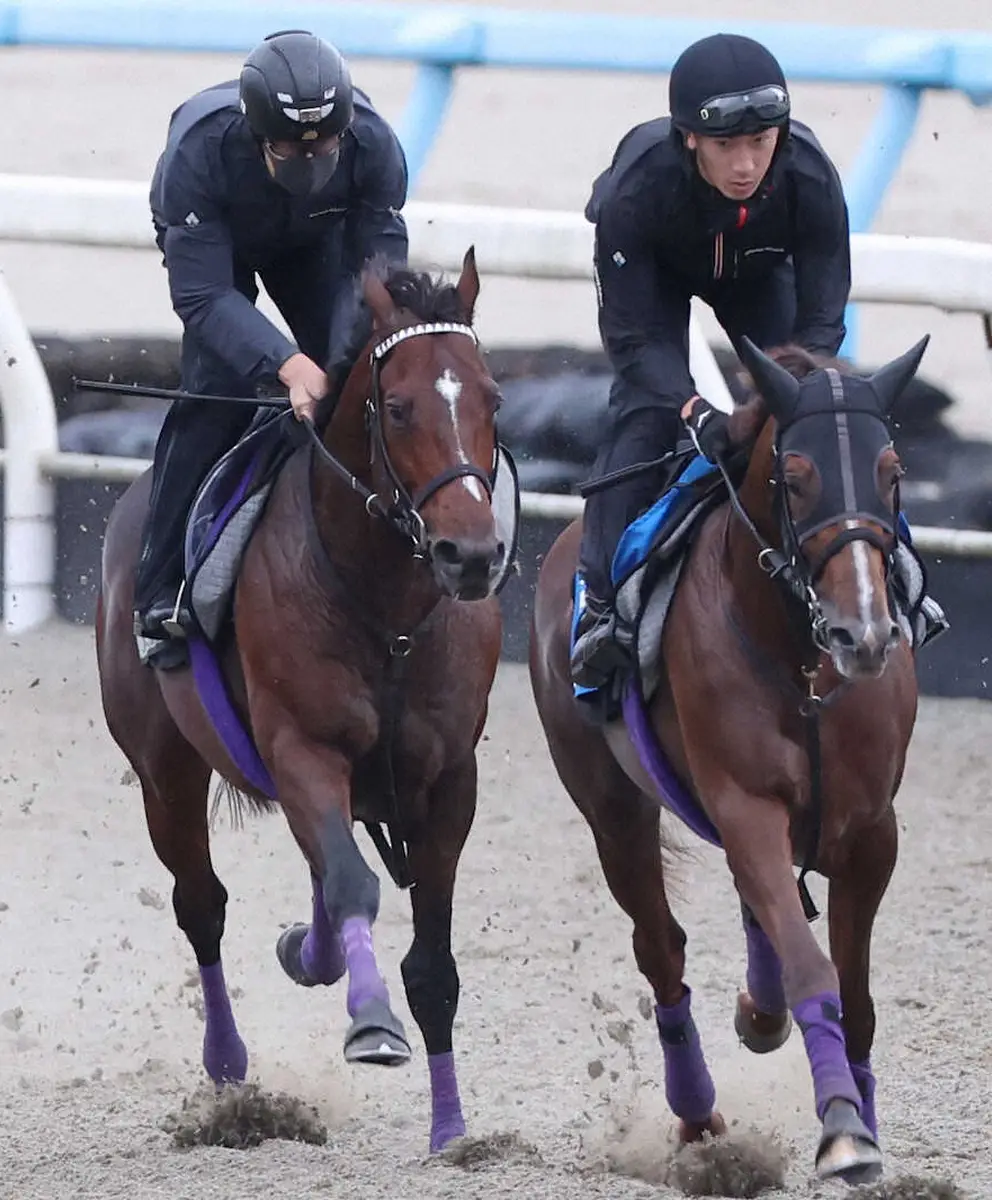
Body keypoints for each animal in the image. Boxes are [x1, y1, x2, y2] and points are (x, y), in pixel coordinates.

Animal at [94, 250, 510, 1152]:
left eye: (493, 398)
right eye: (398, 406)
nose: (470, 556)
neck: (387, 611)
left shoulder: (447, 780)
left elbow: (432, 964)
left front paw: (452, 1128)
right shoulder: (302, 751)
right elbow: (354, 885)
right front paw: (372, 1024)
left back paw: (308, 953)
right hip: (165, 770)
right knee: (202, 903)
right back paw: (227, 1065)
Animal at [534, 336, 930, 1180]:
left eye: (891, 470)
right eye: (796, 477)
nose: (865, 633)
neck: (802, 666)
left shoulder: (871, 832)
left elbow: (854, 993)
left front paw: (860, 1108)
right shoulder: (745, 806)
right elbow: (813, 967)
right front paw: (842, 1125)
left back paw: (760, 1010)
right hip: (613, 809)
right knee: (661, 948)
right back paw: (697, 1114)